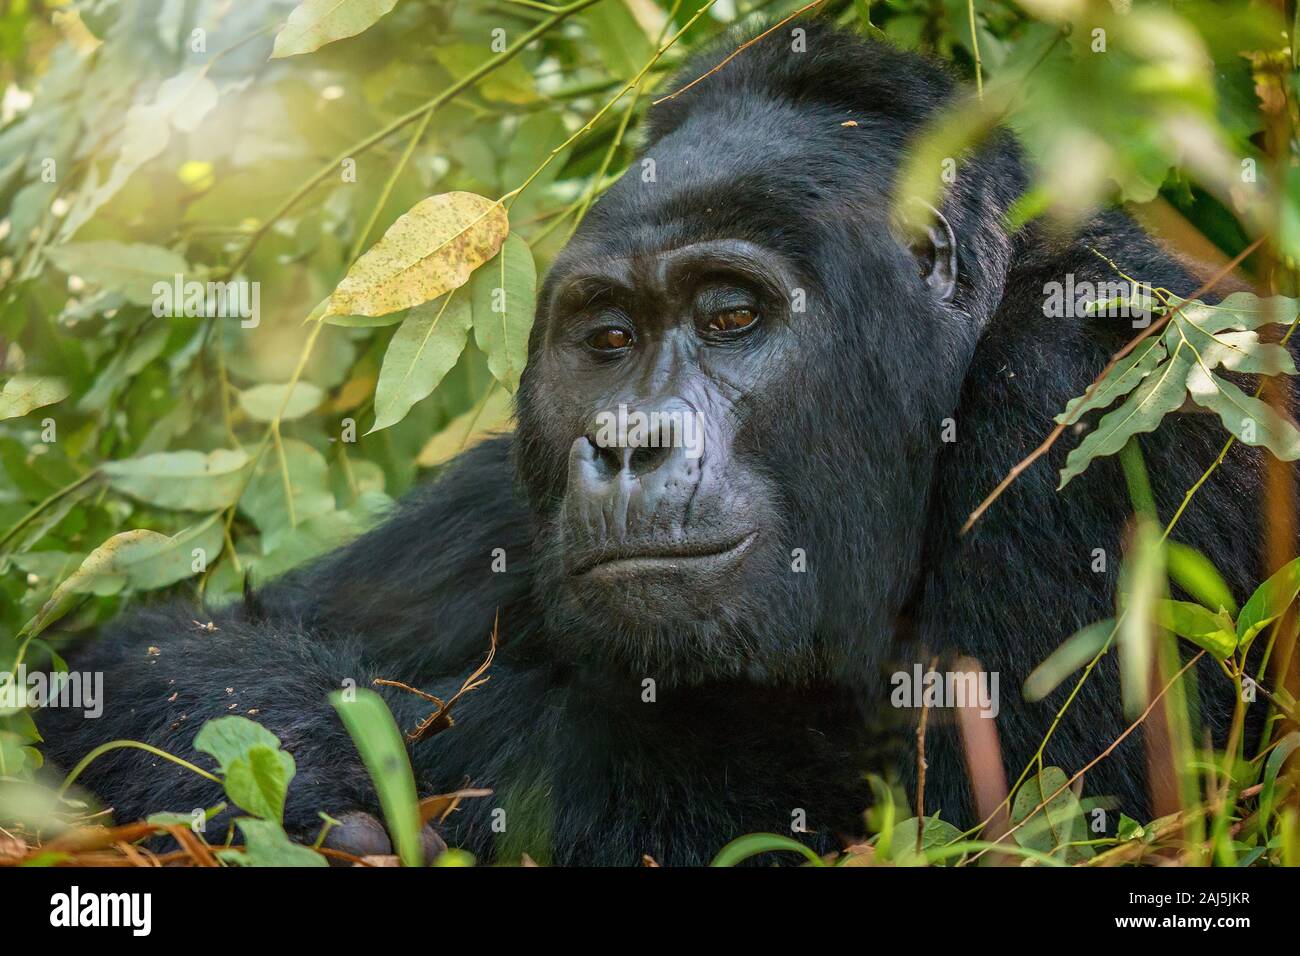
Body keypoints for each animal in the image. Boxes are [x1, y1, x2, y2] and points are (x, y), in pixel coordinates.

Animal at [38, 24, 1268, 868]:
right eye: (609, 338)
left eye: (732, 316)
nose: (628, 440)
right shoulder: (504, 486)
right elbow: (176, 647)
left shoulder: (1089, 391)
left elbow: (1029, 819)